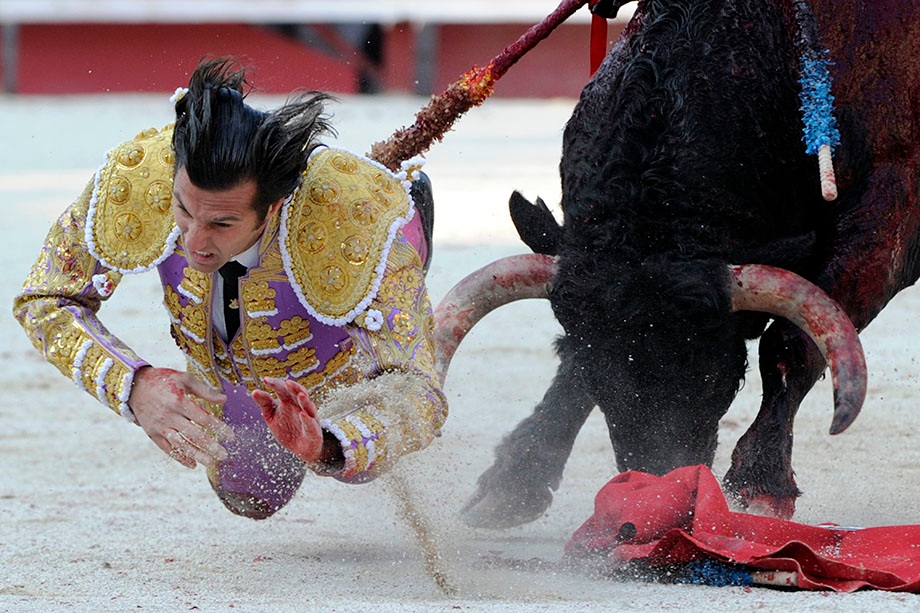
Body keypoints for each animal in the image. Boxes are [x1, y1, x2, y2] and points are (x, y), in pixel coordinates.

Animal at [434, 0, 920, 524]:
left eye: (714, 375)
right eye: (601, 381)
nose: (659, 490)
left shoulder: (888, 218)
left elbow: (791, 341)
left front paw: (761, 482)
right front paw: (512, 480)